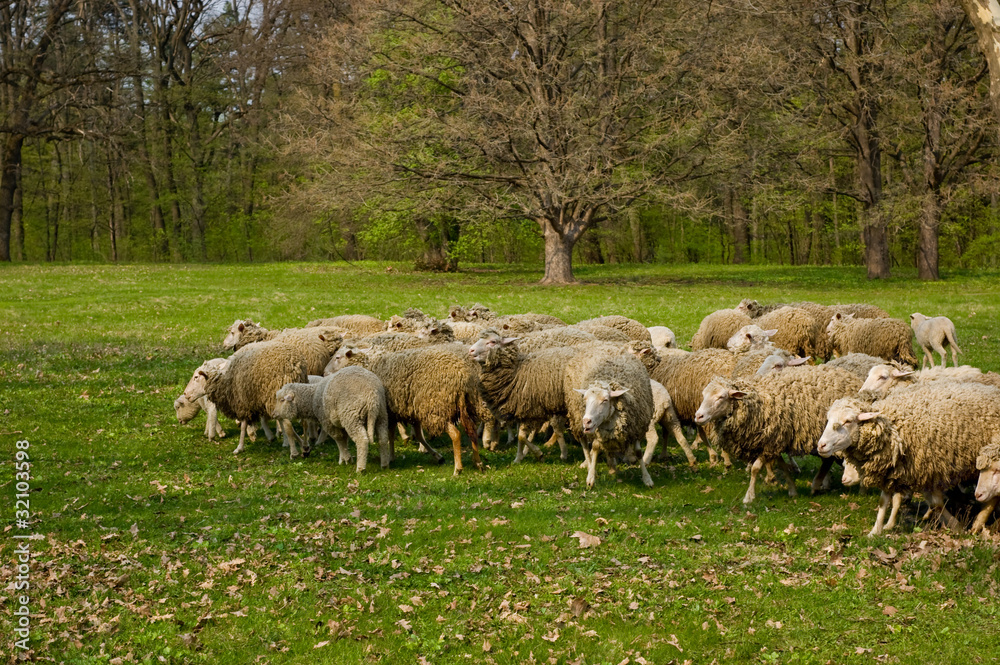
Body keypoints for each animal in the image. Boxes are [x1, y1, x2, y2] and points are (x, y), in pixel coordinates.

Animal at [327, 344, 483, 475]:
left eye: (337, 357)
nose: (324, 372)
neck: (369, 365)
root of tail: (462, 377)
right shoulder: (406, 412)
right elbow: (415, 435)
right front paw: (436, 456)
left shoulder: (390, 412)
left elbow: (390, 435)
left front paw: (390, 457)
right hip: (465, 406)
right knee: (472, 432)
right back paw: (478, 462)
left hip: (435, 409)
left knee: (456, 435)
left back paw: (458, 468)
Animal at [564, 351, 655, 488]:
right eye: (585, 399)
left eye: (605, 400)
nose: (586, 421)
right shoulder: (598, 431)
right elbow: (595, 447)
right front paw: (591, 478)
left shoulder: (635, 428)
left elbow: (639, 452)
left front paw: (647, 478)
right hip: (576, 420)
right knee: (585, 446)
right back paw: (591, 466)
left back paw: (612, 467)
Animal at [693, 365, 862, 505]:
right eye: (703, 395)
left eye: (721, 397)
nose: (698, 416)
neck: (756, 404)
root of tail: (852, 377)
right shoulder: (774, 443)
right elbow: (783, 467)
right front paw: (792, 490)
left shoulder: (770, 442)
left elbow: (755, 469)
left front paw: (749, 497)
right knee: (828, 460)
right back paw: (822, 484)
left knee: (828, 460)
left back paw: (817, 485)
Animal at [817, 383, 1000, 535]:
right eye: (828, 419)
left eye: (848, 421)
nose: (821, 445)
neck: (892, 428)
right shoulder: (891, 469)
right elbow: (884, 501)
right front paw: (875, 531)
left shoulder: (929, 469)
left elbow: (936, 503)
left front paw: (957, 526)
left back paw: (978, 522)